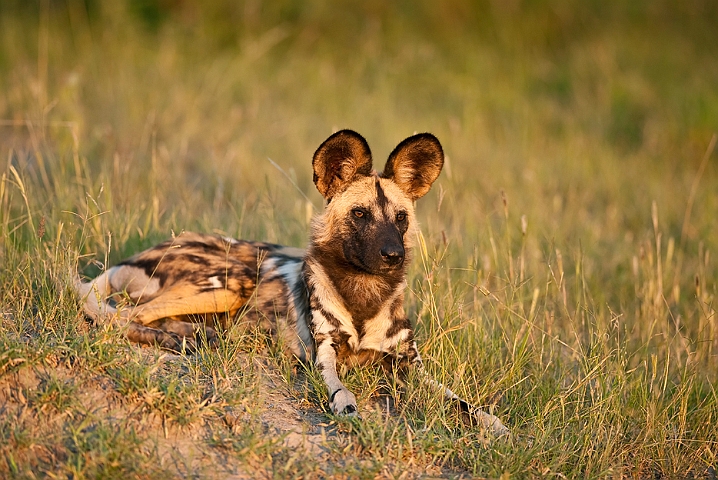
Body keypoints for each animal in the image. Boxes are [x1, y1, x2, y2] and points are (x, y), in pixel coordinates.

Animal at [76, 130, 510, 436]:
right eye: (360, 214)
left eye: (401, 218)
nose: (393, 255)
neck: (365, 295)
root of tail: (141, 254)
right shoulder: (325, 355)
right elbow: (342, 392)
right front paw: (347, 408)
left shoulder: (409, 364)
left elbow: (463, 402)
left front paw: (495, 426)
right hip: (230, 282)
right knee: (120, 316)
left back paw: (194, 337)